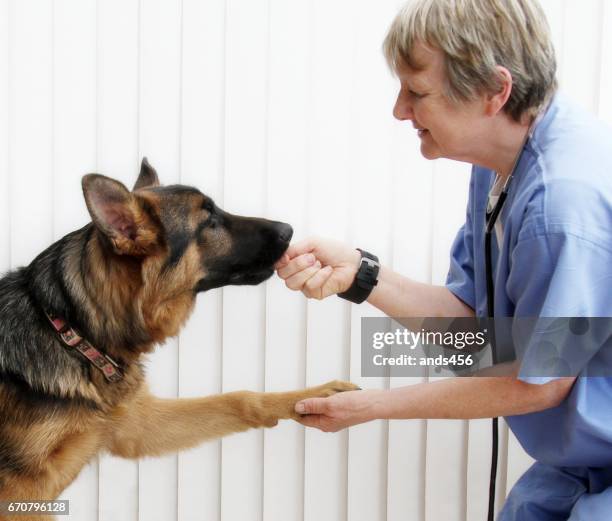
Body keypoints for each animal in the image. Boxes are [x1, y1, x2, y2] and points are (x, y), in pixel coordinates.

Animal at [0, 159, 356, 520]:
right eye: (209, 221)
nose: (288, 230)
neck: (71, 332)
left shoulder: (137, 428)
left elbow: (239, 399)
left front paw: (313, 396)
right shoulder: (22, 495)